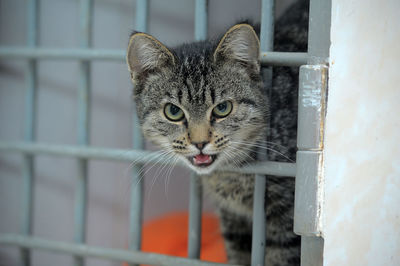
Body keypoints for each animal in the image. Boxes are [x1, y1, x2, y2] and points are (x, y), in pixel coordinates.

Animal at [126, 1, 308, 264]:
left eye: (223, 108)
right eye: (173, 111)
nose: (200, 142)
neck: (230, 177)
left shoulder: (287, 221)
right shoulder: (234, 223)